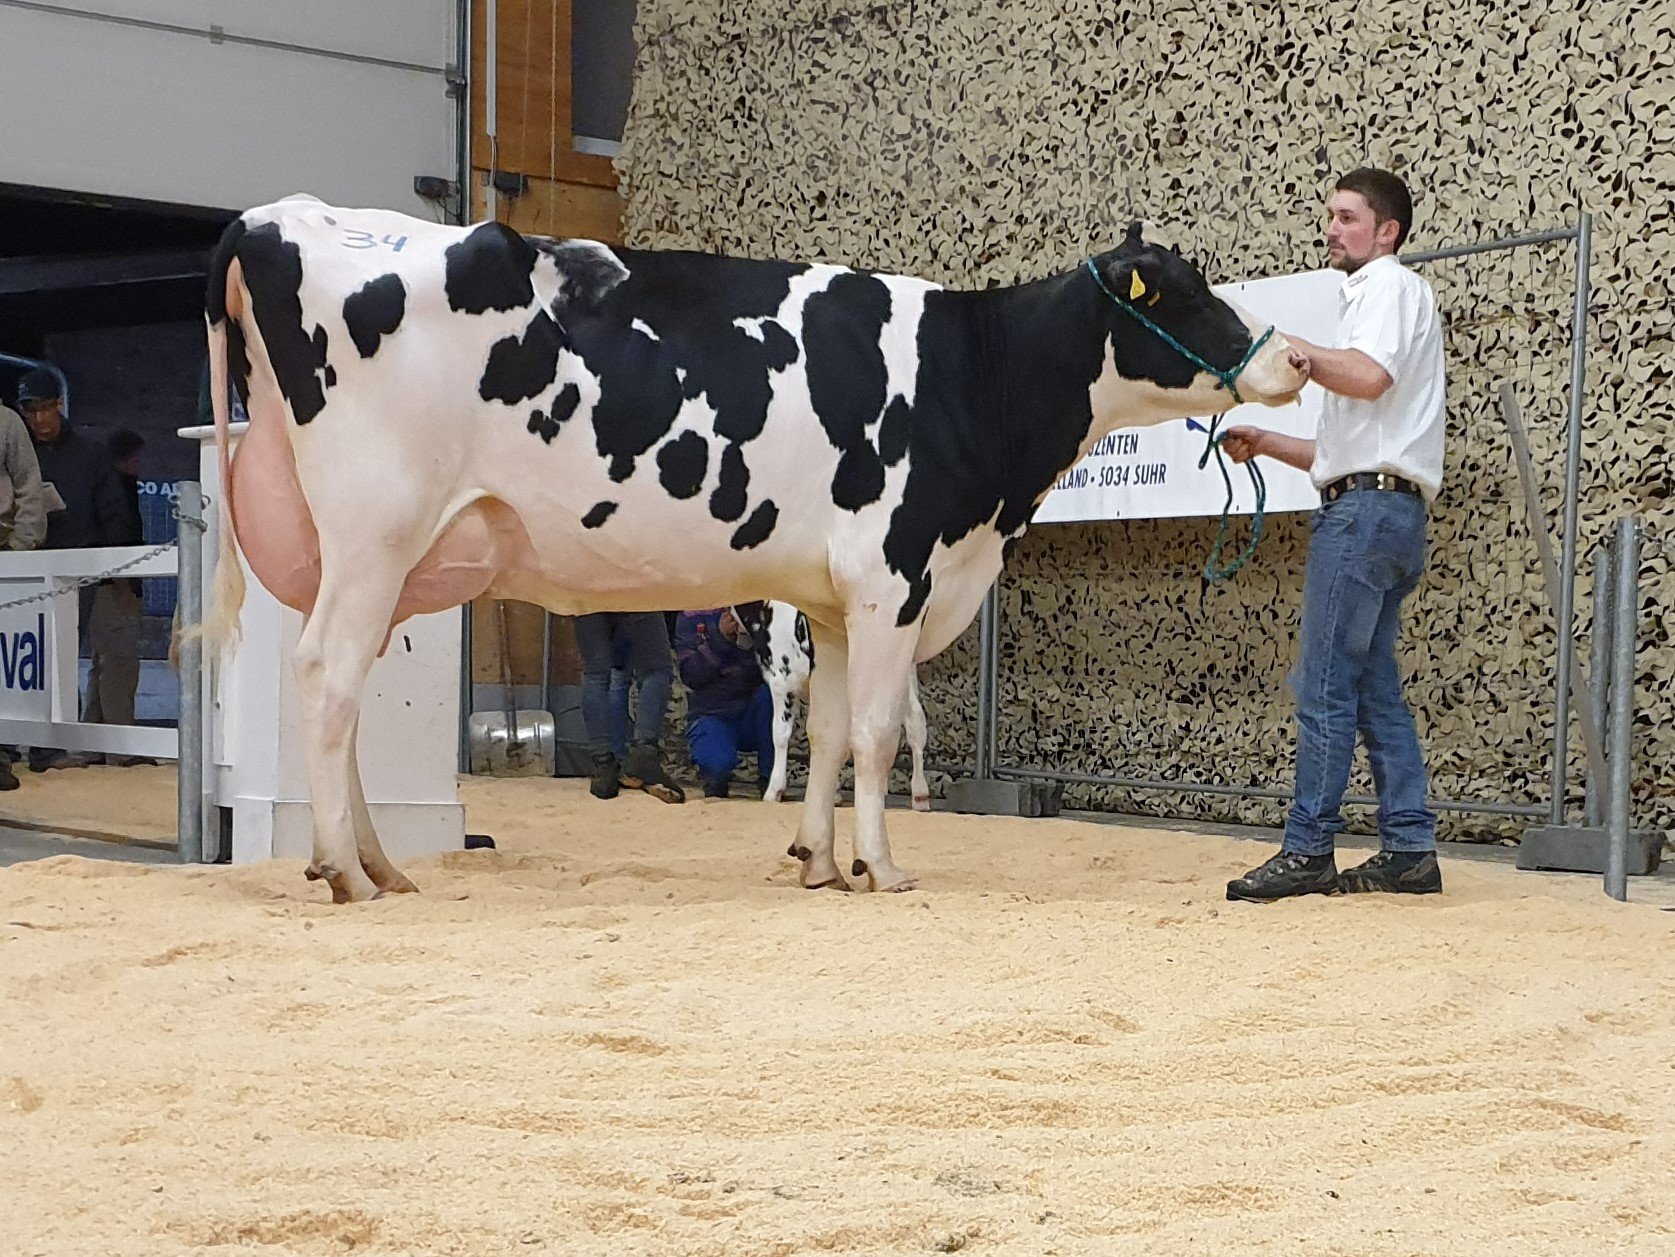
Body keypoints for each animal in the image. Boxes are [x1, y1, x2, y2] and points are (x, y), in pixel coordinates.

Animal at [731, 599, 931, 810]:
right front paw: (833, 792)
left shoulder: (782, 680)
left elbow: (780, 734)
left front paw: (774, 790)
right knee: (915, 723)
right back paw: (918, 796)